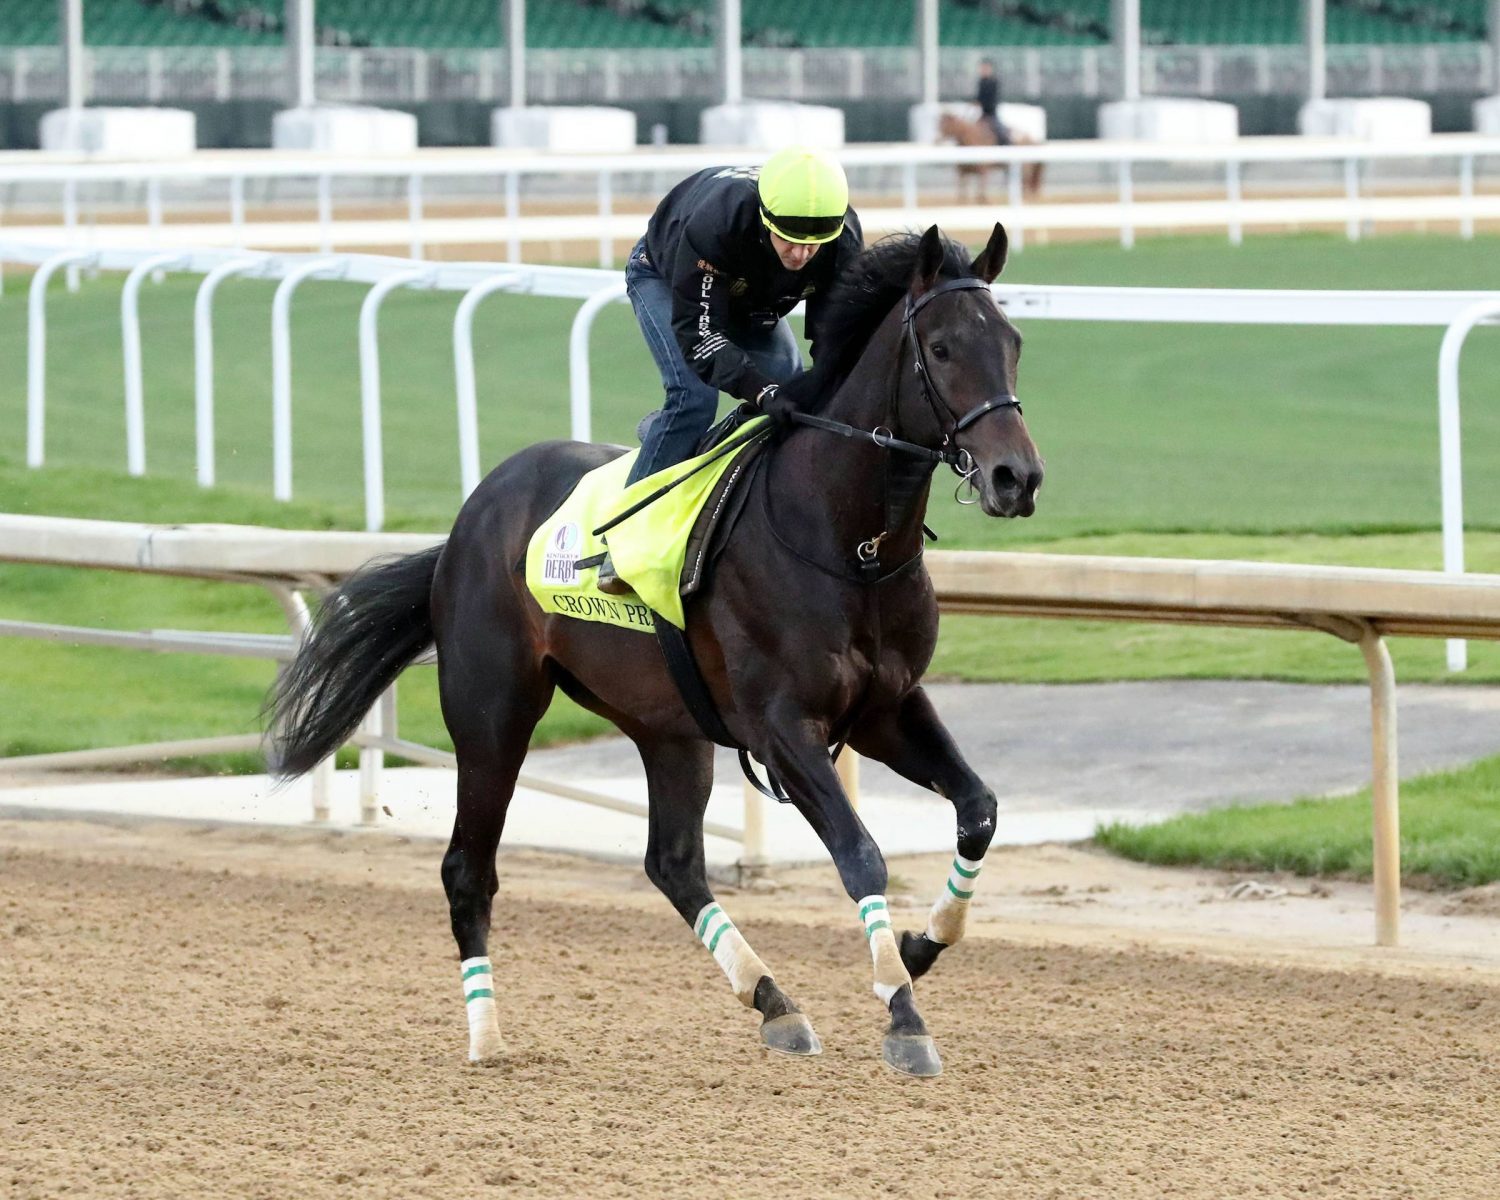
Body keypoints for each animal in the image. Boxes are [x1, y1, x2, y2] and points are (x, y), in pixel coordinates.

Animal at [267, 222, 1044, 1080]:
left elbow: (978, 810)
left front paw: (918, 946)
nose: (1017, 477)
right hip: (492, 713)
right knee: (468, 869)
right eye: (940, 348)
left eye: (1012, 343)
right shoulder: (782, 727)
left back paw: (774, 1001)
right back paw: (487, 1037)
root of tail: (466, 524)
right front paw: (903, 1013)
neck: (849, 543)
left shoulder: (887, 708)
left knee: (672, 862)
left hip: (669, 729)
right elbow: (860, 853)